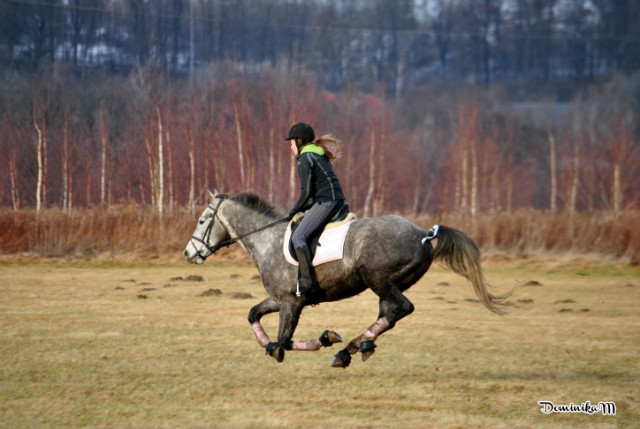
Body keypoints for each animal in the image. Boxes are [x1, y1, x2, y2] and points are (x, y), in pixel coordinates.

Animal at [185, 191, 510, 368]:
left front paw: (320, 340)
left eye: (202, 220)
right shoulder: (279, 299)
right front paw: (321, 339)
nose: (189, 253)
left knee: (401, 309)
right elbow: (254, 314)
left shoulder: (291, 302)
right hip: (388, 285)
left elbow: (284, 342)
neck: (269, 239)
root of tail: (424, 234)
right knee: (389, 314)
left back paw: (350, 348)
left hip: (378, 279)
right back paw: (355, 348)